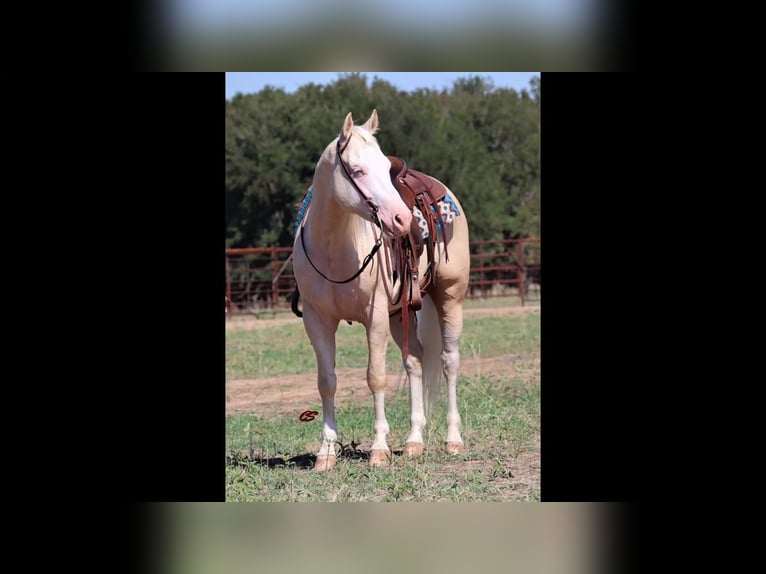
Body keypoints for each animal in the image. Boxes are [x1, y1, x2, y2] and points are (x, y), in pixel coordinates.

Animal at [294, 110, 472, 470]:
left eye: (383, 166)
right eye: (358, 170)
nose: (402, 219)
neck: (334, 249)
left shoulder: (373, 317)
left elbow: (375, 377)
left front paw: (378, 448)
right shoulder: (317, 321)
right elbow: (327, 382)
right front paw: (326, 452)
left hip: (450, 297)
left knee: (449, 362)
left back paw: (453, 439)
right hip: (400, 313)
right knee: (414, 361)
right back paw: (415, 440)